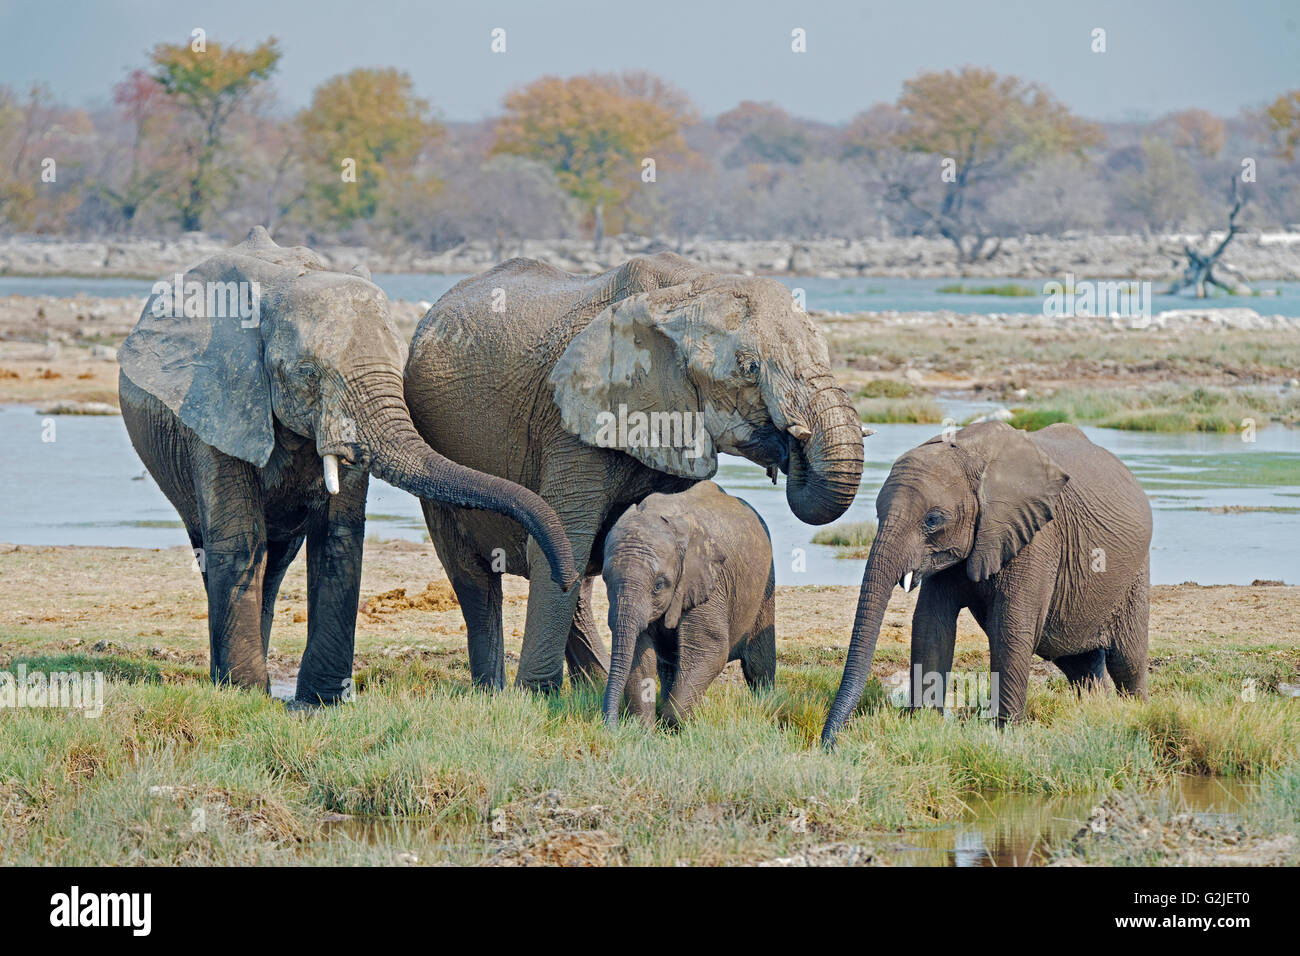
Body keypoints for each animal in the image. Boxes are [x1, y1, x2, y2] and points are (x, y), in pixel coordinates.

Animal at [116, 223, 574, 702]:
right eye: (307, 374)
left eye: (399, 367)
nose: (568, 578)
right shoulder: (218, 401)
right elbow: (239, 539)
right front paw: (245, 694)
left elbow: (339, 536)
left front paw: (318, 702)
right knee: (219, 547)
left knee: (275, 562)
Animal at [408, 251, 863, 691]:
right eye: (749, 368)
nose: (792, 443)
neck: (690, 287)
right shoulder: (571, 422)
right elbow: (565, 538)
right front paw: (534, 696)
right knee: (477, 575)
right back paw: (495, 690)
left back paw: (592, 682)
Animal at [598, 481, 769, 728]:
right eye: (604, 579)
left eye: (659, 585)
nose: (610, 727)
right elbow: (639, 652)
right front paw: (642, 729)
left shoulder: (708, 581)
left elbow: (709, 649)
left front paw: (675, 725)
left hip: (765, 586)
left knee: (759, 662)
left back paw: (766, 704)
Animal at [821, 421, 1149, 749]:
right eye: (878, 514)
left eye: (932, 520)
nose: (831, 745)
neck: (970, 456)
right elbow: (930, 623)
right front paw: (923, 724)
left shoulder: (1036, 536)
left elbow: (1010, 628)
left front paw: (1006, 734)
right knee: (1078, 664)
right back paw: (1096, 712)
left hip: (1135, 575)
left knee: (1127, 662)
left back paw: (1135, 713)